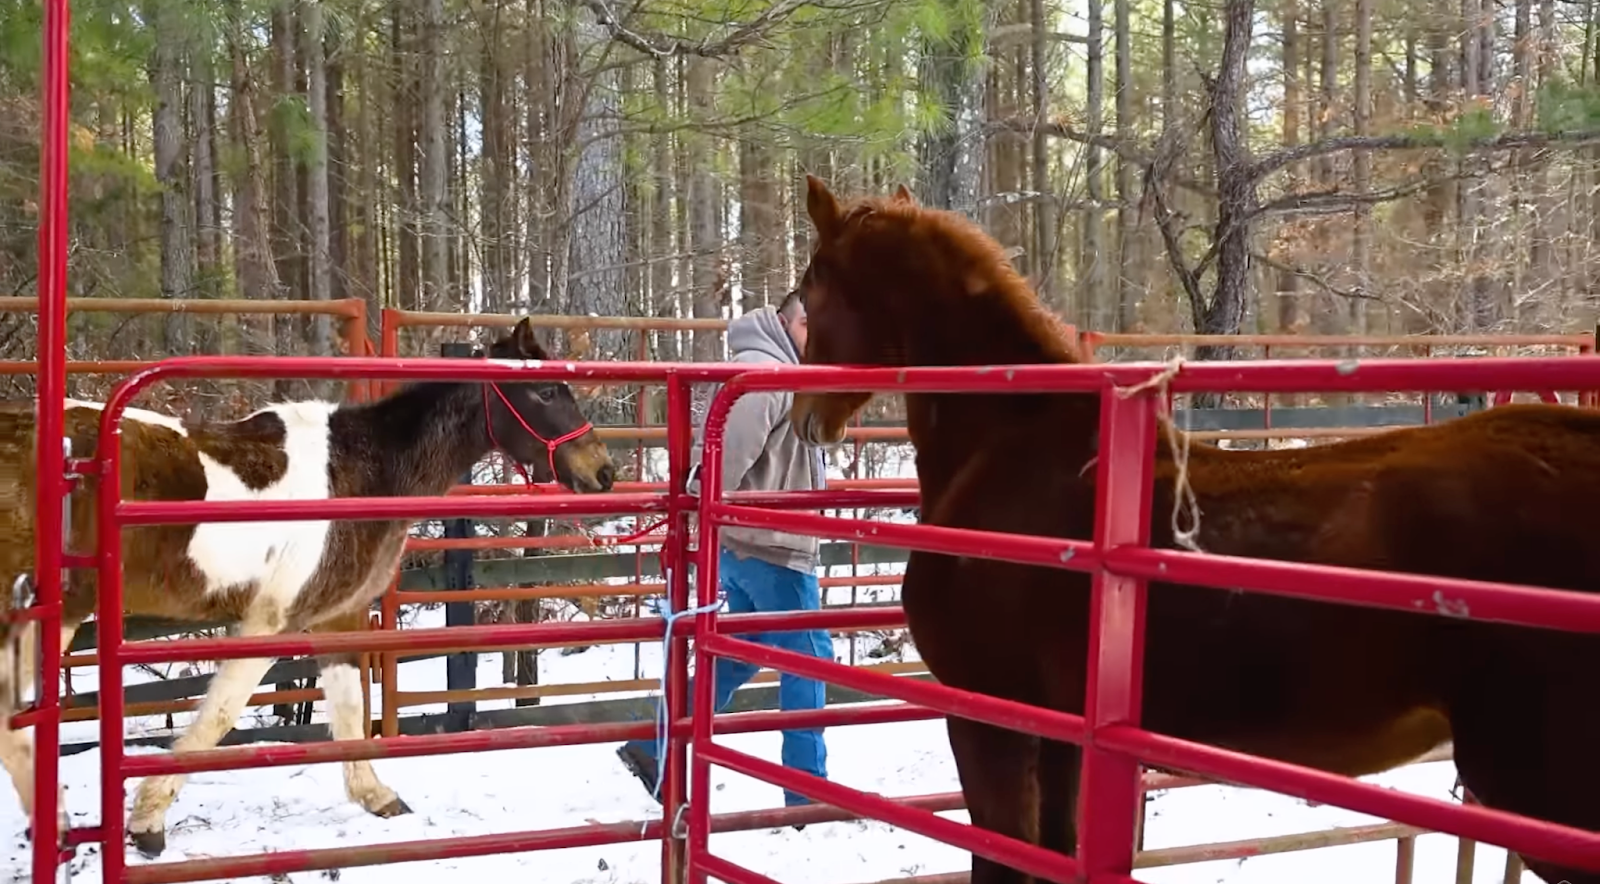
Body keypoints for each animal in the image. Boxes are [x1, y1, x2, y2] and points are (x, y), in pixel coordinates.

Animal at [0, 316, 616, 858]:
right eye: (544, 391)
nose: (603, 471)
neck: (366, 471)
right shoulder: (268, 622)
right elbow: (218, 716)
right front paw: (148, 823)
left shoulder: (333, 619)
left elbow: (348, 708)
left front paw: (378, 797)